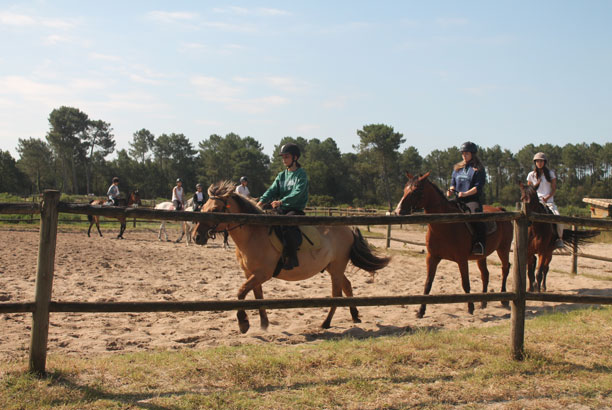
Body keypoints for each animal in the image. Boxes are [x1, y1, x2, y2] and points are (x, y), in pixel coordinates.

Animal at [192, 182, 392, 334]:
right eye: (203, 208)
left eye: (215, 209)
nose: (196, 237)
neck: (253, 233)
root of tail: (348, 228)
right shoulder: (251, 274)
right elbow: (257, 296)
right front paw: (264, 324)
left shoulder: (262, 274)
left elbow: (241, 293)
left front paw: (243, 323)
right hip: (333, 267)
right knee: (347, 286)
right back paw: (355, 315)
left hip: (336, 268)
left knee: (336, 294)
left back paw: (326, 323)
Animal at [394, 172, 512, 318]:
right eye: (405, 189)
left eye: (416, 190)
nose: (398, 211)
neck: (445, 224)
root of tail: (500, 209)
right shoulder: (432, 258)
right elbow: (428, 284)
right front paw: (420, 311)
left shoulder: (462, 259)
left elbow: (465, 283)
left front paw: (470, 307)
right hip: (482, 256)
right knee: (485, 274)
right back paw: (483, 302)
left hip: (503, 249)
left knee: (505, 268)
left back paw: (504, 299)